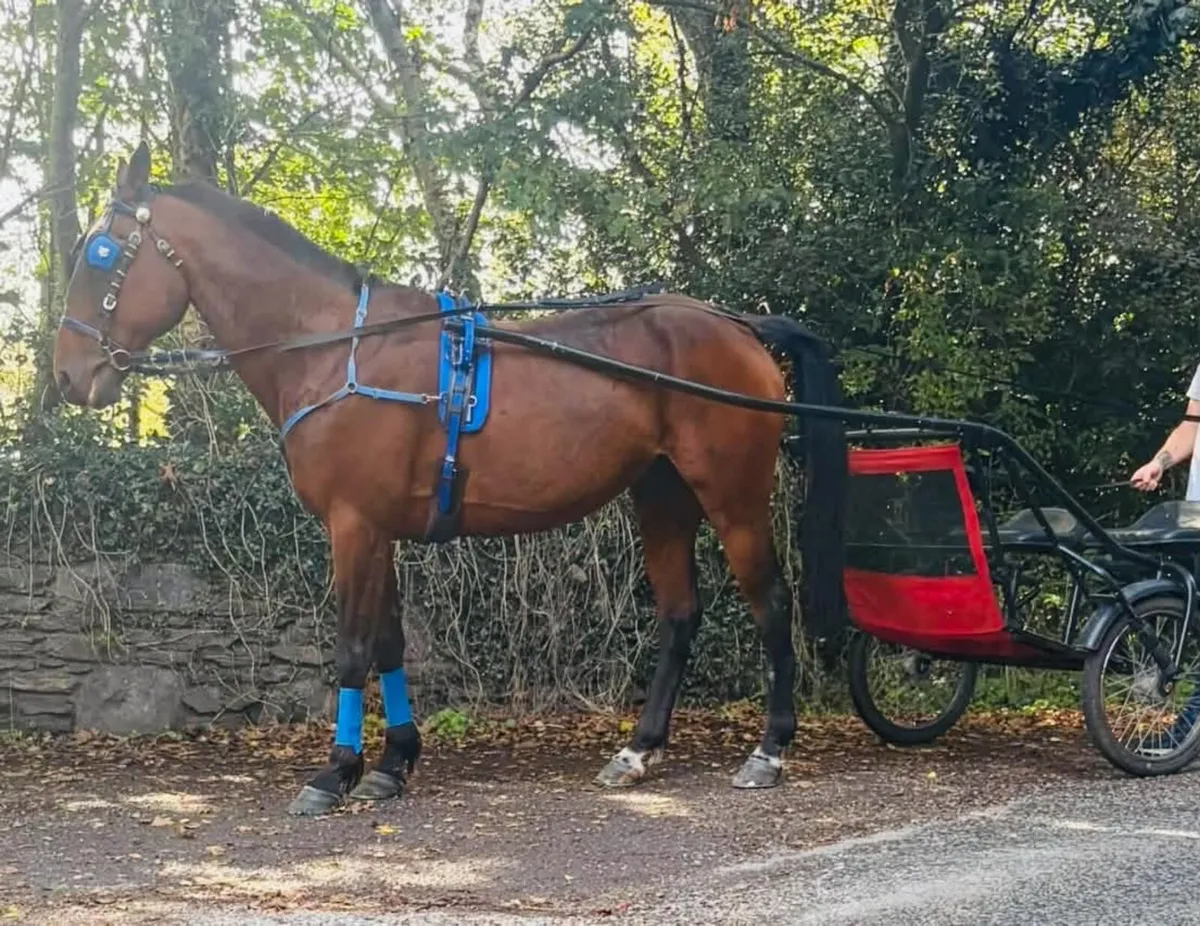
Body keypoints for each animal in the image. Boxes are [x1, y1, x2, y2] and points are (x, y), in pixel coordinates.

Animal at [52, 141, 848, 816]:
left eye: (99, 252)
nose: (67, 374)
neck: (339, 347)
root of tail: (738, 324)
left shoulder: (353, 524)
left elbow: (352, 647)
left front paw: (335, 772)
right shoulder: (377, 528)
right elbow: (390, 644)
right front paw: (391, 763)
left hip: (733, 497)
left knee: (772, 604)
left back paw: (769, 749)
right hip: (662, 496)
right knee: (682, 614)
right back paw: (638, 751)